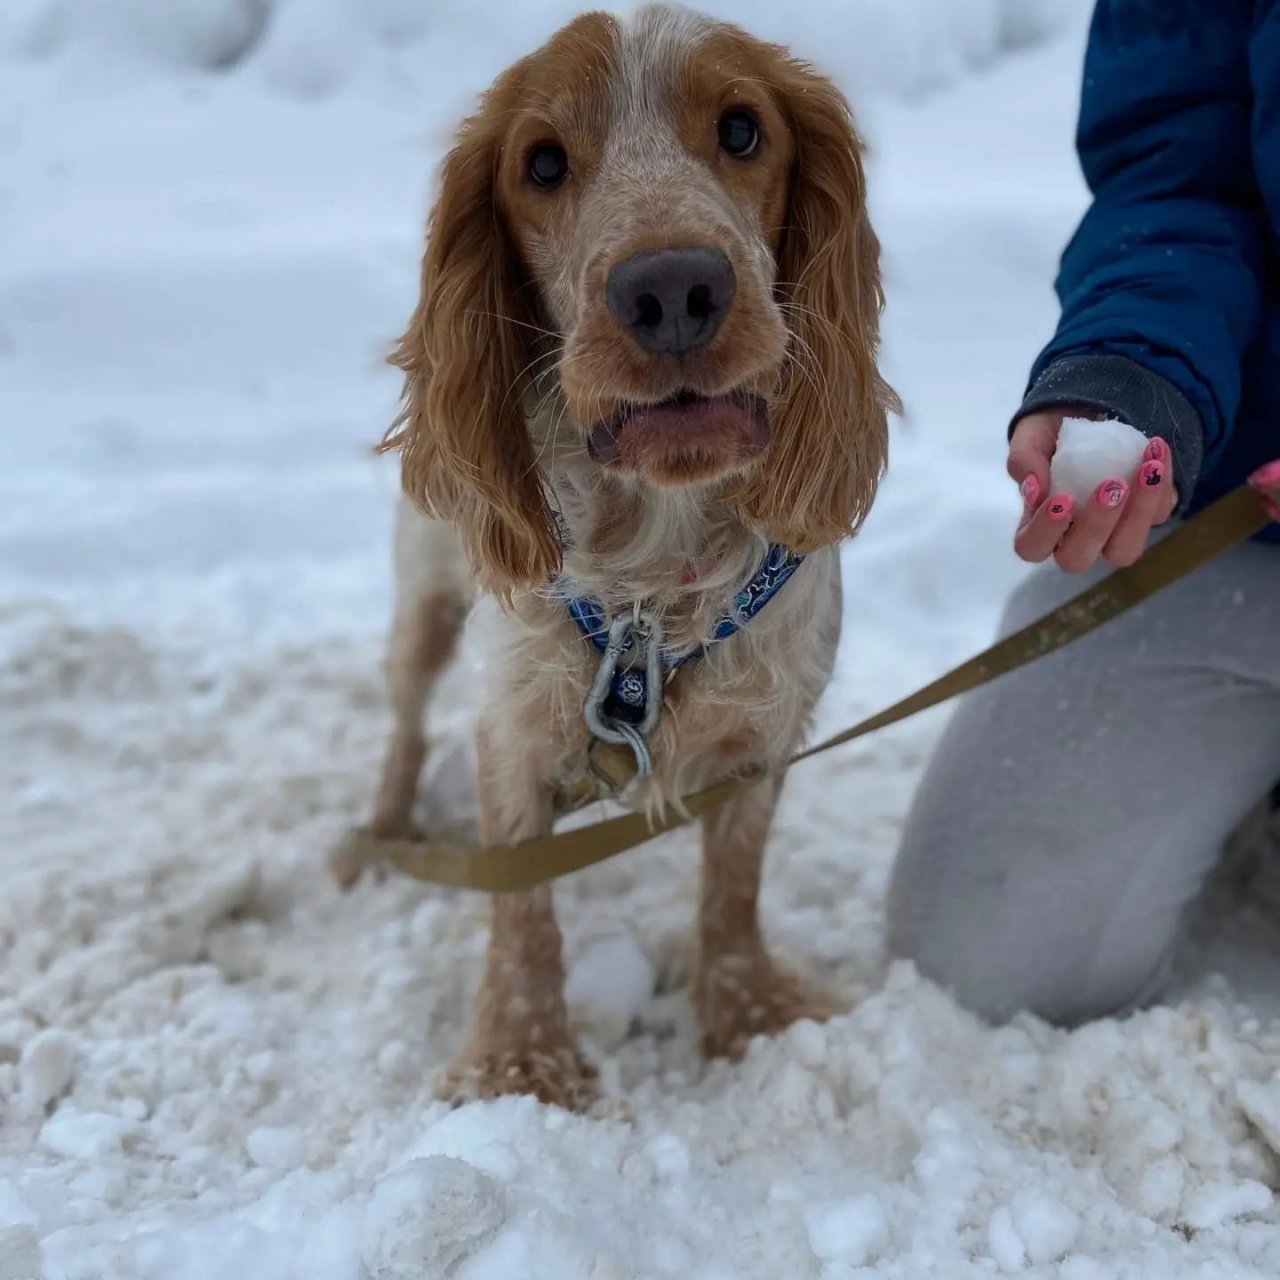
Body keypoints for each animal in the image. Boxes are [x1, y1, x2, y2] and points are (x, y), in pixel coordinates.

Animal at [368, 2, 890, 1111]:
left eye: (741, 129)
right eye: (542, 162)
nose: (673, 286)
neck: (656, 572)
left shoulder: (767, 728)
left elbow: (733, 889)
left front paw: (748, 1014)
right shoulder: (513, 728)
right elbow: (522, 912)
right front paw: (518, 1059)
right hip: (424, 600)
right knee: (402, 723)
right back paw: (378, 840)